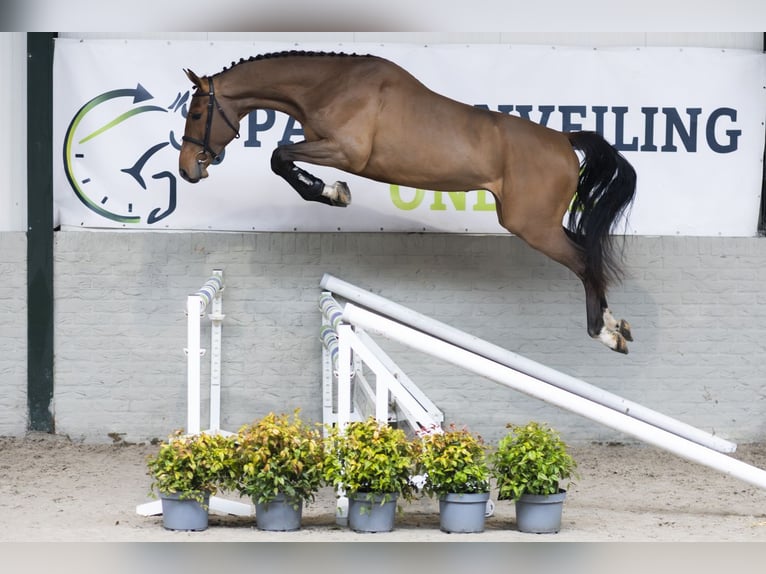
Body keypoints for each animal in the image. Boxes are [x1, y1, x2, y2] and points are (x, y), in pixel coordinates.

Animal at [178, 51, 637, 353]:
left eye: (197, 114)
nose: (186, 170)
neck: (331, 86)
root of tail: (564, 139)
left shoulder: (345, 152)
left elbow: (279, 156)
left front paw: (332, 192)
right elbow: (283, 158)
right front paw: (331, 190)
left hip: (532, 226)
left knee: (584, 260)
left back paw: (605, 332)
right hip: (536, 222)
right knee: (588, 254)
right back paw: (616, 324)